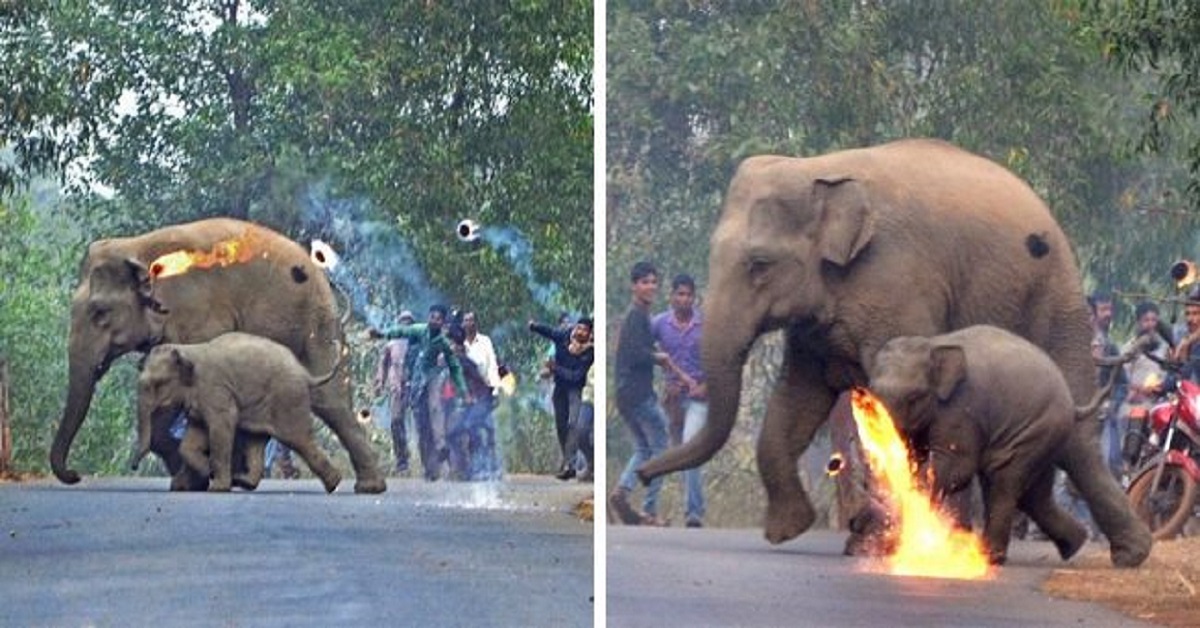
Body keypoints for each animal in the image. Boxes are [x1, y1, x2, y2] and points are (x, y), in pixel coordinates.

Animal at [135, 331, 343, 494]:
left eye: (158, 383)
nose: (133, 466)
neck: (188, 349)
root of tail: (306, 375)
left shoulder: (215, 390)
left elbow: (222, 427)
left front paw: (216, 486)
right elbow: (191, 439)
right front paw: (204, 475)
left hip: (287, 399)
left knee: (298, 439)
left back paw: (334, 485)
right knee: (256, 440)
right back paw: (243, 481)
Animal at [864, 324, 1104, 564]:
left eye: (914, 397)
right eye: (872, 394)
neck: (933, 344)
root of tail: (1071, 401)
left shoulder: (961, 407)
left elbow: (957, 465)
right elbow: (915, 456)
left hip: (1039, 429)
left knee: (1005, 482)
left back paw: (991, 557)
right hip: (1044, 437)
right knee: (1034, 496)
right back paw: (1074, 544)